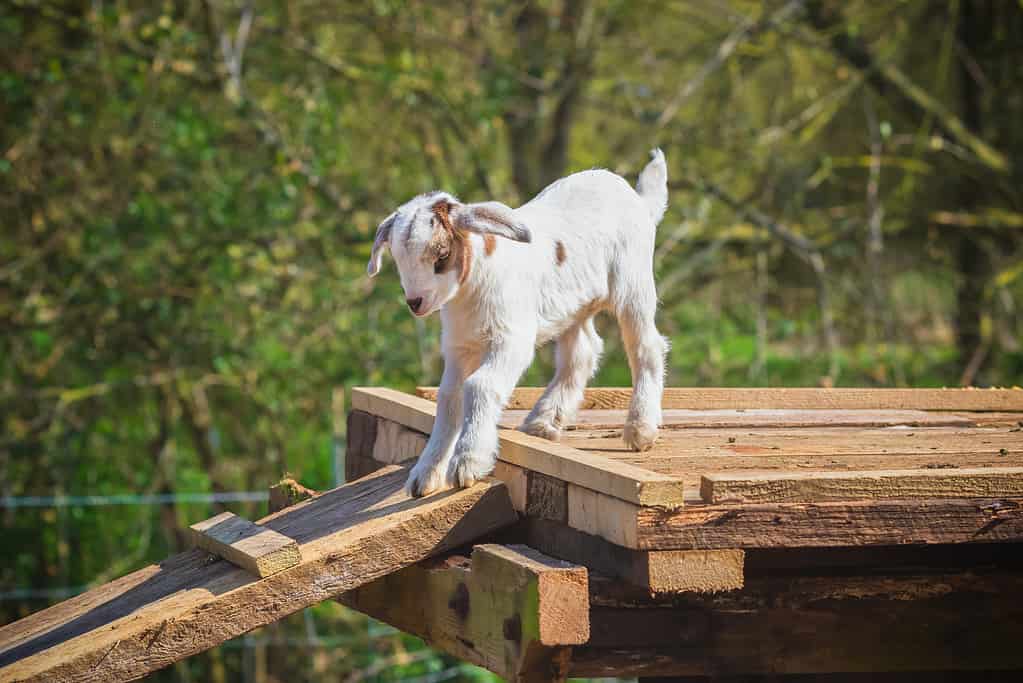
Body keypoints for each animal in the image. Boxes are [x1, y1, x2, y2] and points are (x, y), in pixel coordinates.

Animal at [368, 149, 671, 496]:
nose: (415, 303)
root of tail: (637, 199)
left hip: (632, 284)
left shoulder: (510, 340)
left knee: (645, 347)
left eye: (441, 255)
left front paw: (469, 462)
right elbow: (448, 397)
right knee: (581, 352)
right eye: (398, 260)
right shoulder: (459, 346)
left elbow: (480, 386)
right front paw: (425, 474)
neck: (474, 282)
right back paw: (543, 421)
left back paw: (640, 429)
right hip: (573, 305)